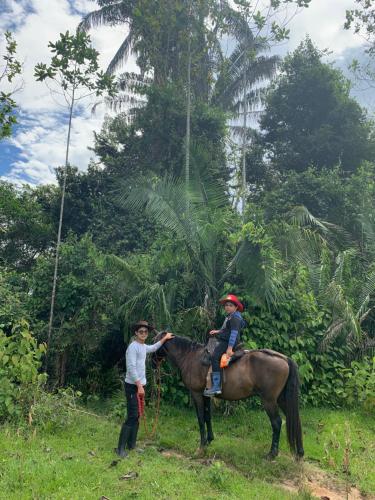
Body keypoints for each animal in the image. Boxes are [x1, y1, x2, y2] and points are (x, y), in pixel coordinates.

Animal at [153, 334, 306, 458]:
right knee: (294, 419)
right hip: (281, 399)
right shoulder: (206, 395)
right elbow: (208, 417)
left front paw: (201, 448)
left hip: (269, 401)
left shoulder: (196, 394)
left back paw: (272, 454)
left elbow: (201, 418)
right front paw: (209, 440)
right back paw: (299, 452)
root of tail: (285, 358)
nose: (153, 363)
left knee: (277, 423)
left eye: (155, 341)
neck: (190, 356)